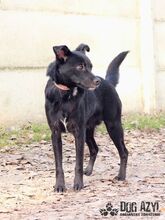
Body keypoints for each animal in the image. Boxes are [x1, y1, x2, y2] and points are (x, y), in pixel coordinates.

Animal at [45, 43, 129, 192]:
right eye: (80, 67)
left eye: (91, 66)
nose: (97, 81)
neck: (65, 96)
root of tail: (108, 82)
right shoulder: (55, 133)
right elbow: (58, 165)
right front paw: (60, 185)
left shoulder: (79, 132)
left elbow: (78, 163)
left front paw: (78, 184)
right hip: (88, 131)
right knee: (94, 149)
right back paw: (89, 170)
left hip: (113, 126)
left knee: (124, 152)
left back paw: (121, 176)